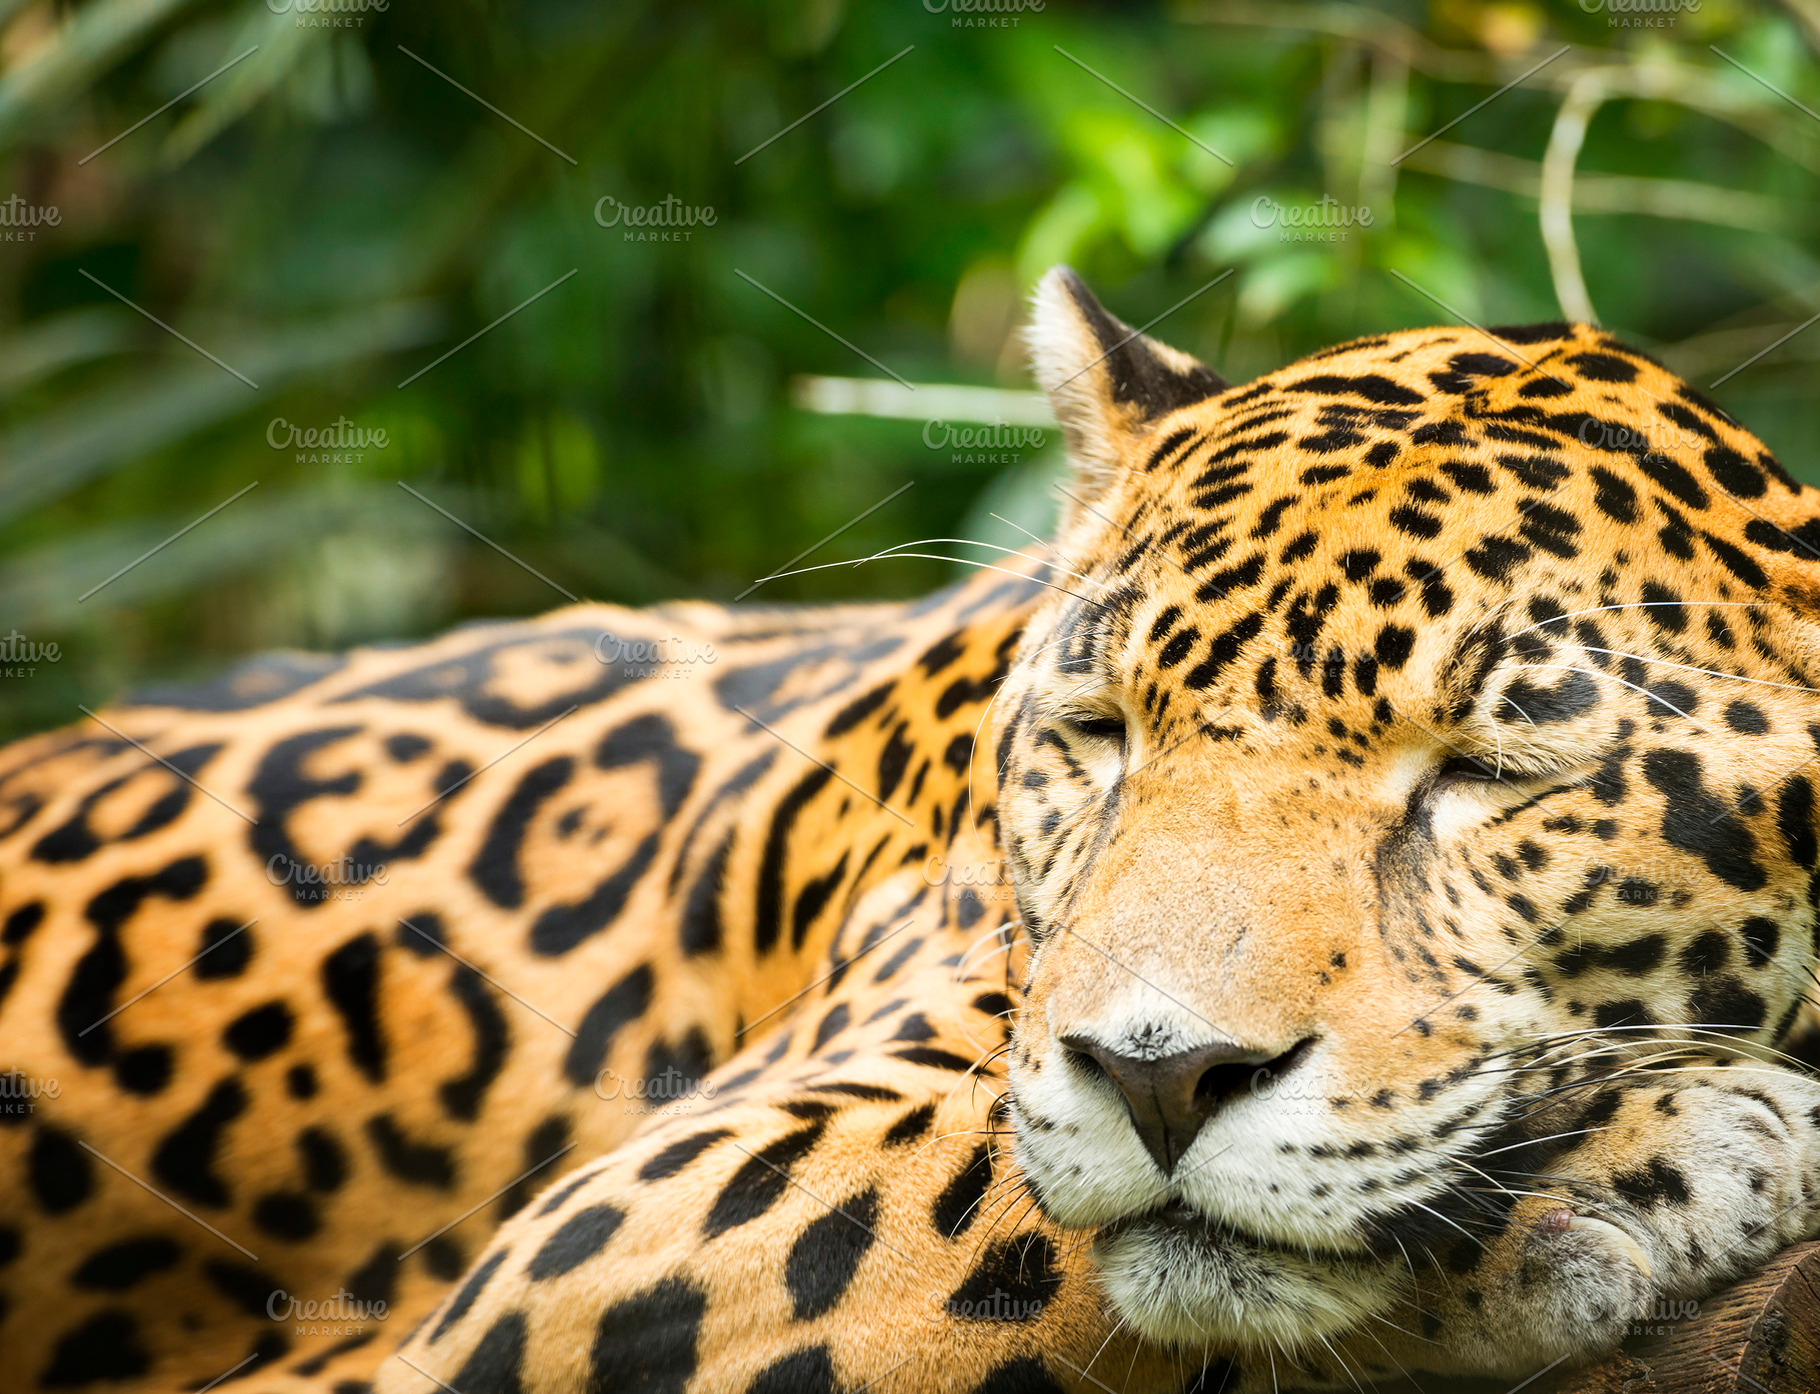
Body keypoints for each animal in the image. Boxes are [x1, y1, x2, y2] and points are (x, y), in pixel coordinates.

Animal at [4, 265, 1820, 1394]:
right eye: (1101, 734)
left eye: (1489, 767)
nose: (1165, 1075)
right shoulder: (599, 1239)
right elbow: (1012, 1200)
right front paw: (1674, 1146)